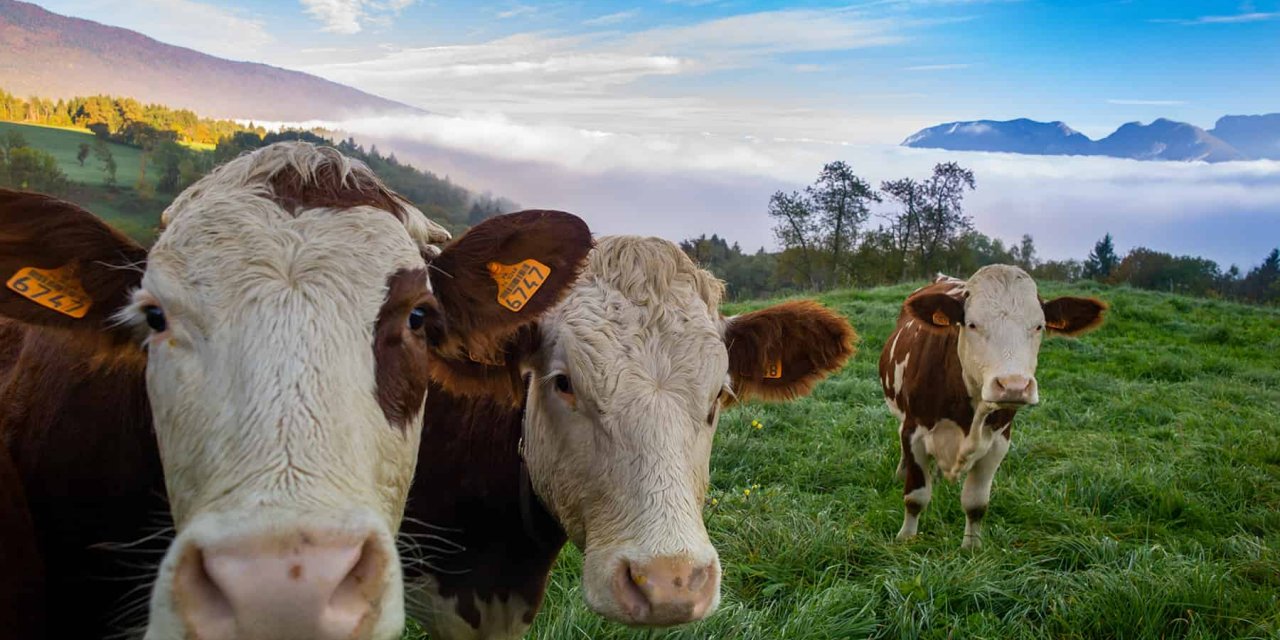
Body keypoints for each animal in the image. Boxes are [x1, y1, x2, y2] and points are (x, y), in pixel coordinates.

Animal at [880, 267, 1111, 547]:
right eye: (972, 324)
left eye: (1039, 326)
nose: (1014, 386)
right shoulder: (914, 432)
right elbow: (915, 497)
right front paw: (906, 539)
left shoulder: (999, 442)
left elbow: (976, 504)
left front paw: (971, 547)